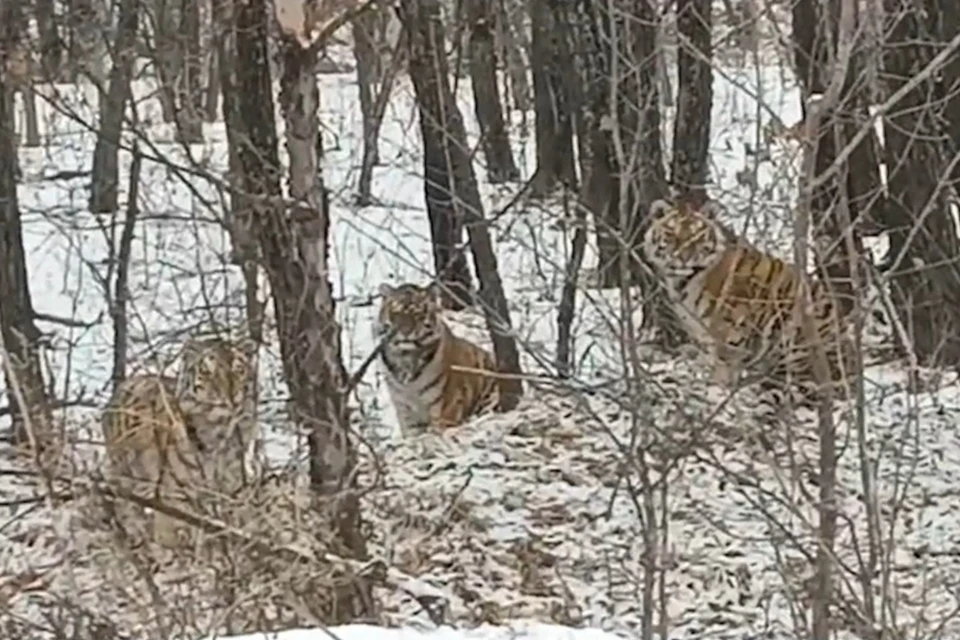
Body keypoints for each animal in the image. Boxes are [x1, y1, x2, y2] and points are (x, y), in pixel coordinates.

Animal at [376, 282, 502, 436]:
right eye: (396, 313)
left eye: (418, 314)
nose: (405, 332)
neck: (405, 357)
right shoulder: (405, 410)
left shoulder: (447, 405)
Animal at [644, 198, 856, 402]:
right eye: (671, 234)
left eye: (697, 237)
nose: (683, 258)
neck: (684, 279)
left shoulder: (730, 325)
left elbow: (724, 361)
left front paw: (718, 389)